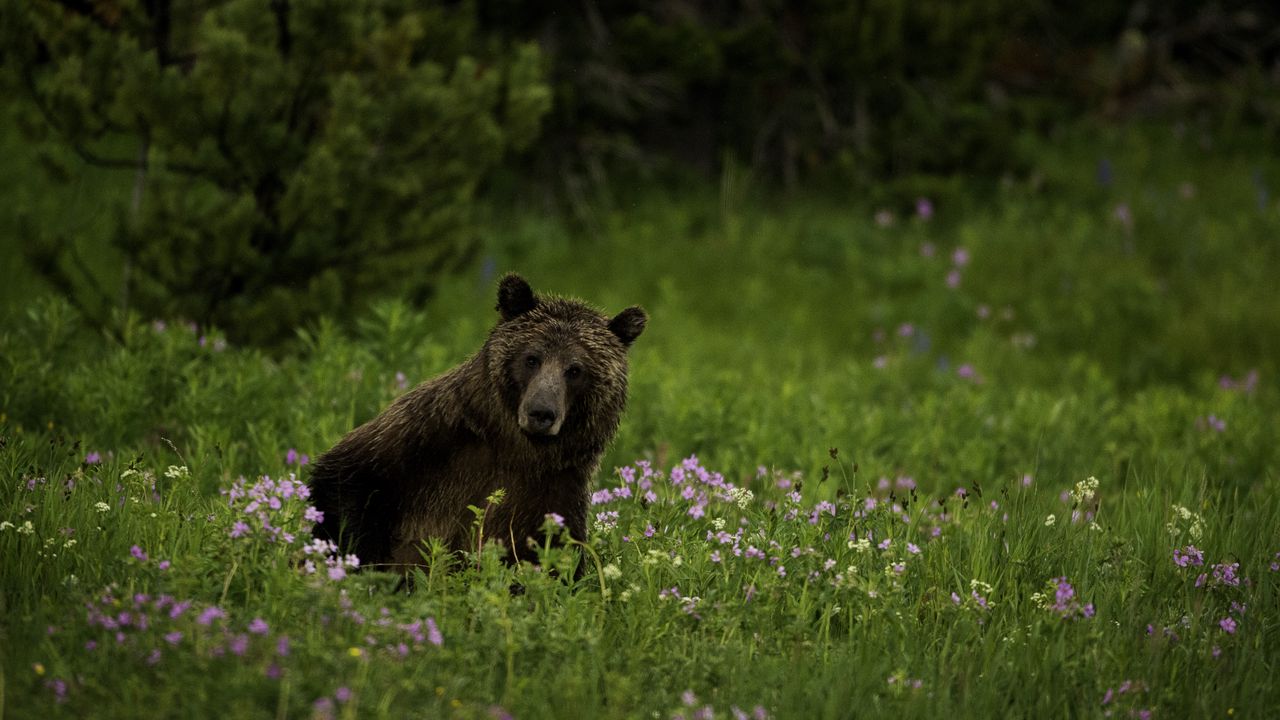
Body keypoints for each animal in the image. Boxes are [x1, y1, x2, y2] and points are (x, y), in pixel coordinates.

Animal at [305, 271, 645, 568]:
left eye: (575, 369)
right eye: (531, 358)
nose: (541, 412)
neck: (519, 449)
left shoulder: (558, 488)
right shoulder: (427, 438)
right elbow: (348, 480)